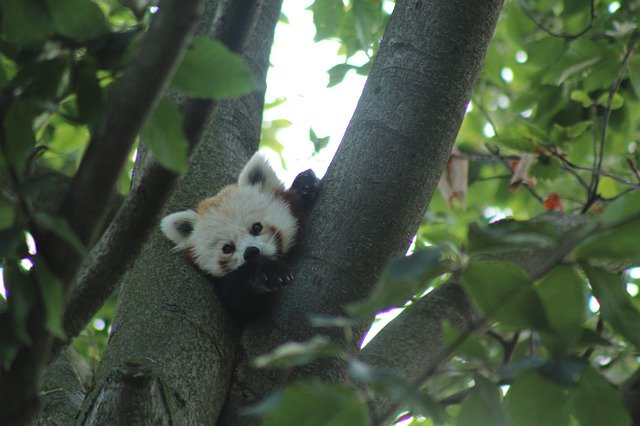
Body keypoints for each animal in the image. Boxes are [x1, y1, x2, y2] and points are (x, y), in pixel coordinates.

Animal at [161, 153, 318, 320]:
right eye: (227, 248)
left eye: (257, 227)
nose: (251, 252)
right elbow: (240, 299)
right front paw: (267, 272)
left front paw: (305, 186)